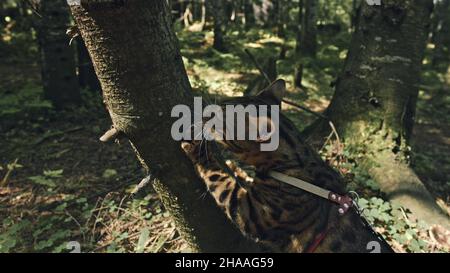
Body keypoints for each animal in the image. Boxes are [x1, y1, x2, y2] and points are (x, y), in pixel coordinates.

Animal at [181, 79, 392, 252]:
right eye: (222, 103)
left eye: (218, 119)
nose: (205, 112)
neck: (291, 162)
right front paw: (233, 166)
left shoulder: (248, 212)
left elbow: (218, 177)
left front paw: (195, 147)